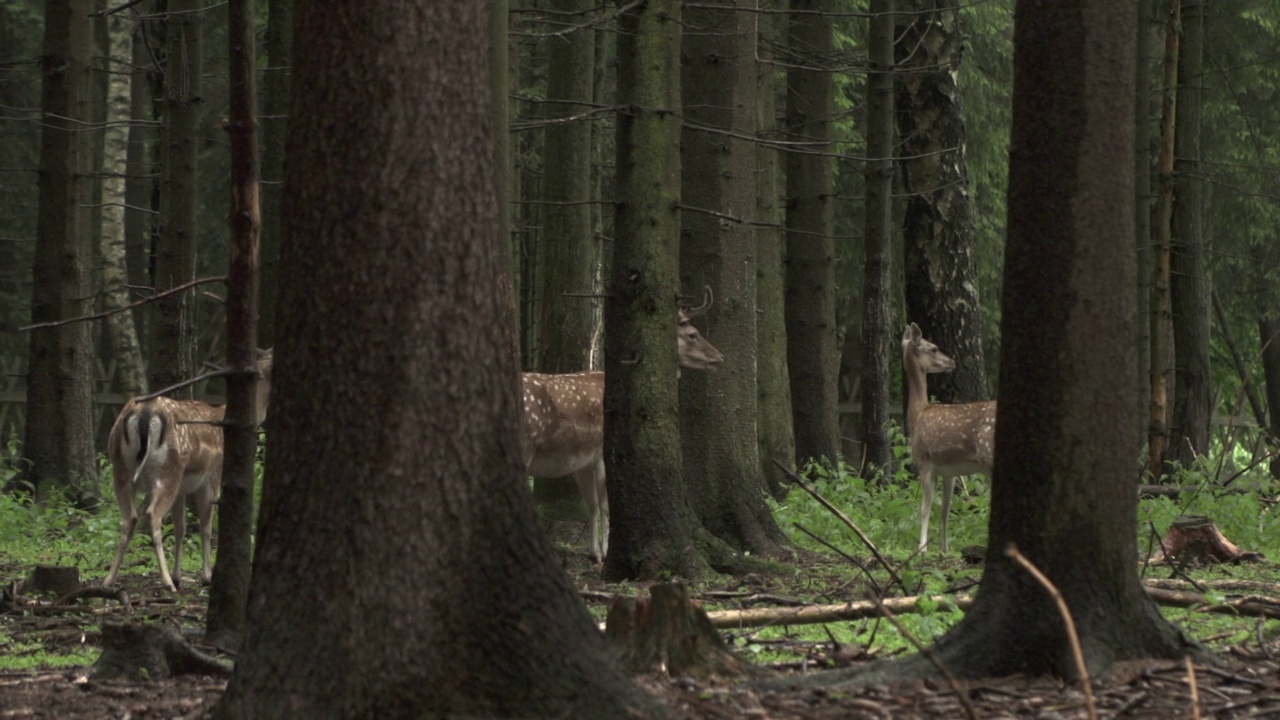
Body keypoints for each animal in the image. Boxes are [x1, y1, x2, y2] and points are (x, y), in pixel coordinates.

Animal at [104, 348, 272, 589]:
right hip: (169, 469)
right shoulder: (213, 476)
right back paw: (166, 582)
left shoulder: (183, 489)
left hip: (120, 469)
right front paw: (206, 575)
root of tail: (144, 412)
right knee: (152, 515)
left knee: (129, 518)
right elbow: (206, 527)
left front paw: (179, 575)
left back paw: (109, 579)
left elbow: (181, 528)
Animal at [519, 286, 721, 561]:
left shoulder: (584, 459)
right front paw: (605, 552)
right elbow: (606, 506)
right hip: (526, 445)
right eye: (693, 334)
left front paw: (594, 552)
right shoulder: (604, 450)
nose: (719, 357)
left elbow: (592, 505)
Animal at [896, 322, 993, 550]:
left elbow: (925, 508)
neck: (918, 414)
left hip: (988, 457)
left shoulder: (924, 462)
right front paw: (944, 548)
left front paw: (922, 547)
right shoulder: (949, 472)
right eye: (933, 348)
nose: (952, 361)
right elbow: (944, 510)